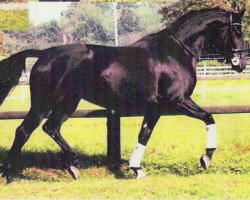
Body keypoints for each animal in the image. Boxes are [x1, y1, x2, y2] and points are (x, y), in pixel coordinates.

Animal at [0, 7, 246, 183]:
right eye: (237, 30)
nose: (241, 63)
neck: (175, 53)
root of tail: (43, 54)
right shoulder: (177, 101)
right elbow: (209, 117)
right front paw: (206, 158)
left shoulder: (155, 108)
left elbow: (144, 134)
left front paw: (136, 169)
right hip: (44, 103)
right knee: (24, 130)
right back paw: (11, 176)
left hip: (68, 102)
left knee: (51, 127)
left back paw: (73, 166)